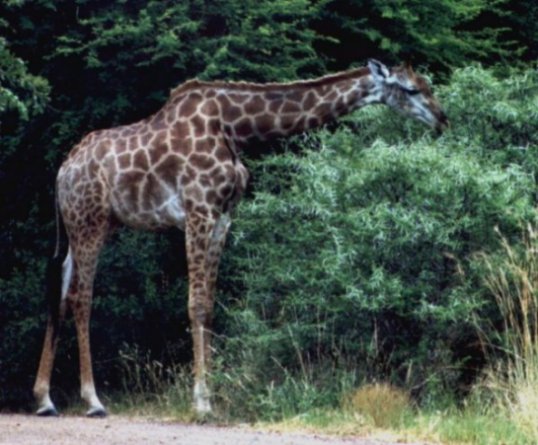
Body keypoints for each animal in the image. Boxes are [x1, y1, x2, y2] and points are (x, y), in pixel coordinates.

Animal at [33, 59, 448, 417]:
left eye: (427, 85)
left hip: (85, 225)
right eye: (412, 89)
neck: (235, 128)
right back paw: (92, 400)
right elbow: (196, 304)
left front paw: (213, 395)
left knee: (60, 290)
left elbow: (210, 305)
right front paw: (202, 402)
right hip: (90, 220)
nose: (442, 119)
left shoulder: (223, 218)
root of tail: (61, 171)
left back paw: (45, 400)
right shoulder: (199, 211)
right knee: (81, 297)